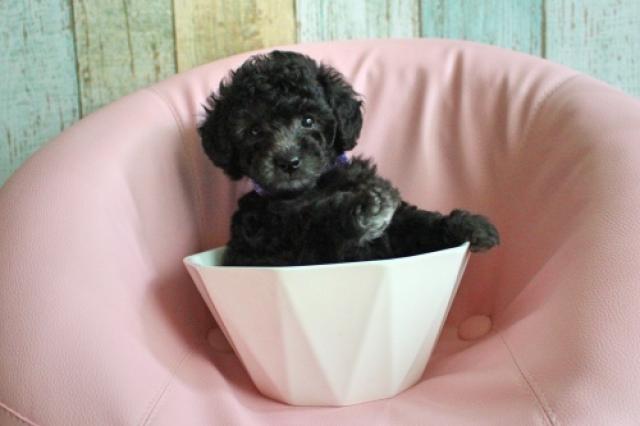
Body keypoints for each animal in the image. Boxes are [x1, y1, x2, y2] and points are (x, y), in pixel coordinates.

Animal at [198, 51, 499, 266]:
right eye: (253, 131)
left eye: (308, 120)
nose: (289, 162)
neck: (313, 187)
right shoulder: (279, 242)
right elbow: (317, 226)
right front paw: (364, 209)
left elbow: (417, 222)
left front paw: (467, 224)